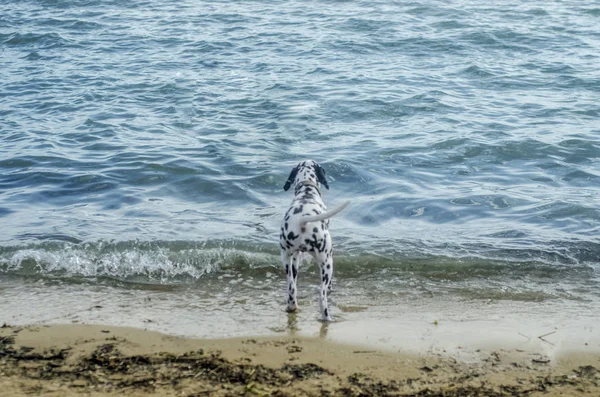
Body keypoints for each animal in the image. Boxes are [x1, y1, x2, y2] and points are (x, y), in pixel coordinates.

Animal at [278, 159, 350, 320]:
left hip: (286, 260)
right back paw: (327, 318)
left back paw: (291, 307)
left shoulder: (295, 257)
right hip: (327, 261)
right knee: (322, 296)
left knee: (292, 289)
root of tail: (303, 220)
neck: (307, 192)